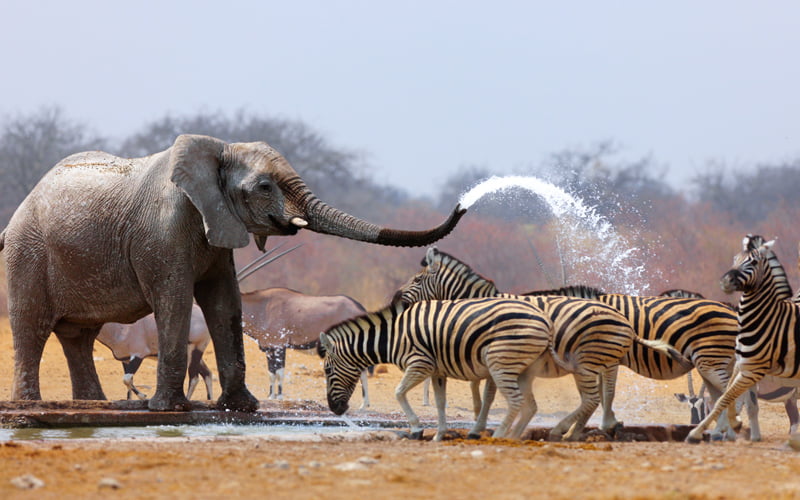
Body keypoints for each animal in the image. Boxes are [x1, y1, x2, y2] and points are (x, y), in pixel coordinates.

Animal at [242, 288, 370, 404]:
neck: (262, 307)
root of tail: (359, 308)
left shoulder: (279, 347)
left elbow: (279, 372)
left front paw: (279, 397)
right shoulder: (269, 348)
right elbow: (271, 373)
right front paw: (271, 396)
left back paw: (363, 405)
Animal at [316, 296, 552, 442]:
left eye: (327, 371)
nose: (335, 410)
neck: (393, 337)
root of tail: (544, 319)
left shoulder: (420, 364)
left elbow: (399, 393)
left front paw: (417, 429)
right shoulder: (438, 371)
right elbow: (439, 402)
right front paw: (439, 435)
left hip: (500, 362)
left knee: (516, 400)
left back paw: (499, 436)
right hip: (520, 368)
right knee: (527, 405)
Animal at [400, 248, 752, 440]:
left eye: (416, 280)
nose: (397, 300)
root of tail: (727, 309)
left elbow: (487, 394)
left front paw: (480, 427)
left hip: (708, 359)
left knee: (727, 392)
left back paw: (723, 429)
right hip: (708, 361)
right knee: (722, 393)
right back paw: (720, 430)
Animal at [684, 236, 800, 444]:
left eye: (753, 262)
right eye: (734, 259)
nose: (726, 281)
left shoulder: (749, 373)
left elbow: (727, 399)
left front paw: (726, 431)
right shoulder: (742, 370)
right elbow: (734, 401)